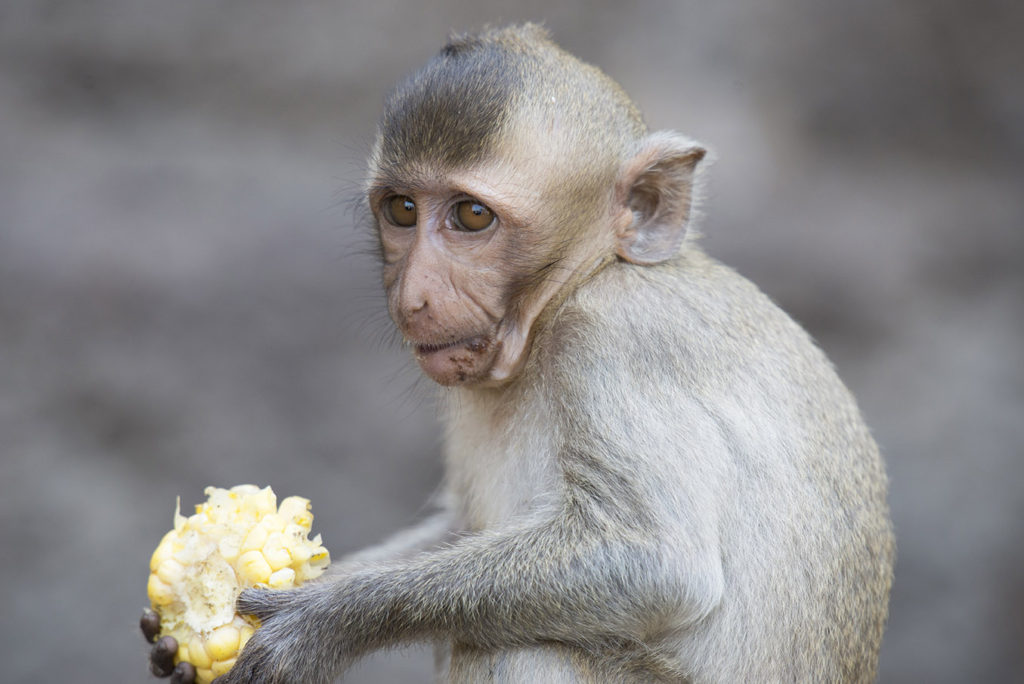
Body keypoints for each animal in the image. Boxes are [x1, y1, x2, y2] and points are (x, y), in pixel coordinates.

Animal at [140, 22, 892, 684]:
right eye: (402, 209)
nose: (414, 295)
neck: (568, 298)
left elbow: (655, 560)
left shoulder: (615, 336)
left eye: (472, 217)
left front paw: (325, 621)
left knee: (525, 644)